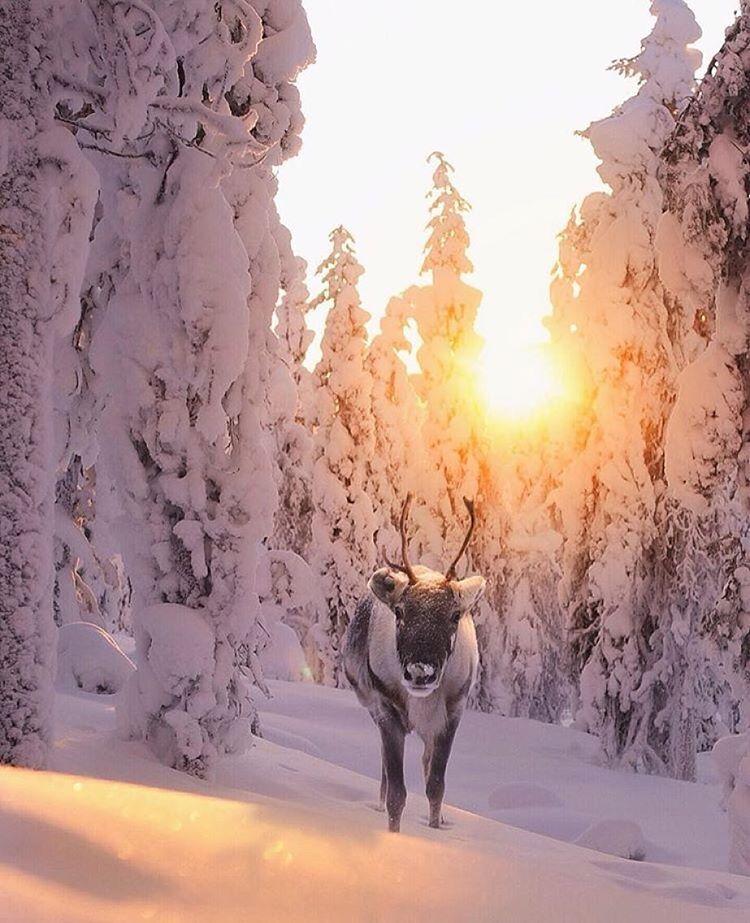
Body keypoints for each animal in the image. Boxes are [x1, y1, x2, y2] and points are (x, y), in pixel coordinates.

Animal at [343, 494, 485, 833]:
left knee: (425, 761)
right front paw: (394, 833)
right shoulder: (386, 709)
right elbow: (397, 793)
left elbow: (436, 785)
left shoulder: (452, 713)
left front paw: (435, 826)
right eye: (399, 611)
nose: (421, 673)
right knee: (385, 768)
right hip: (374, 708)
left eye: (455, 615)